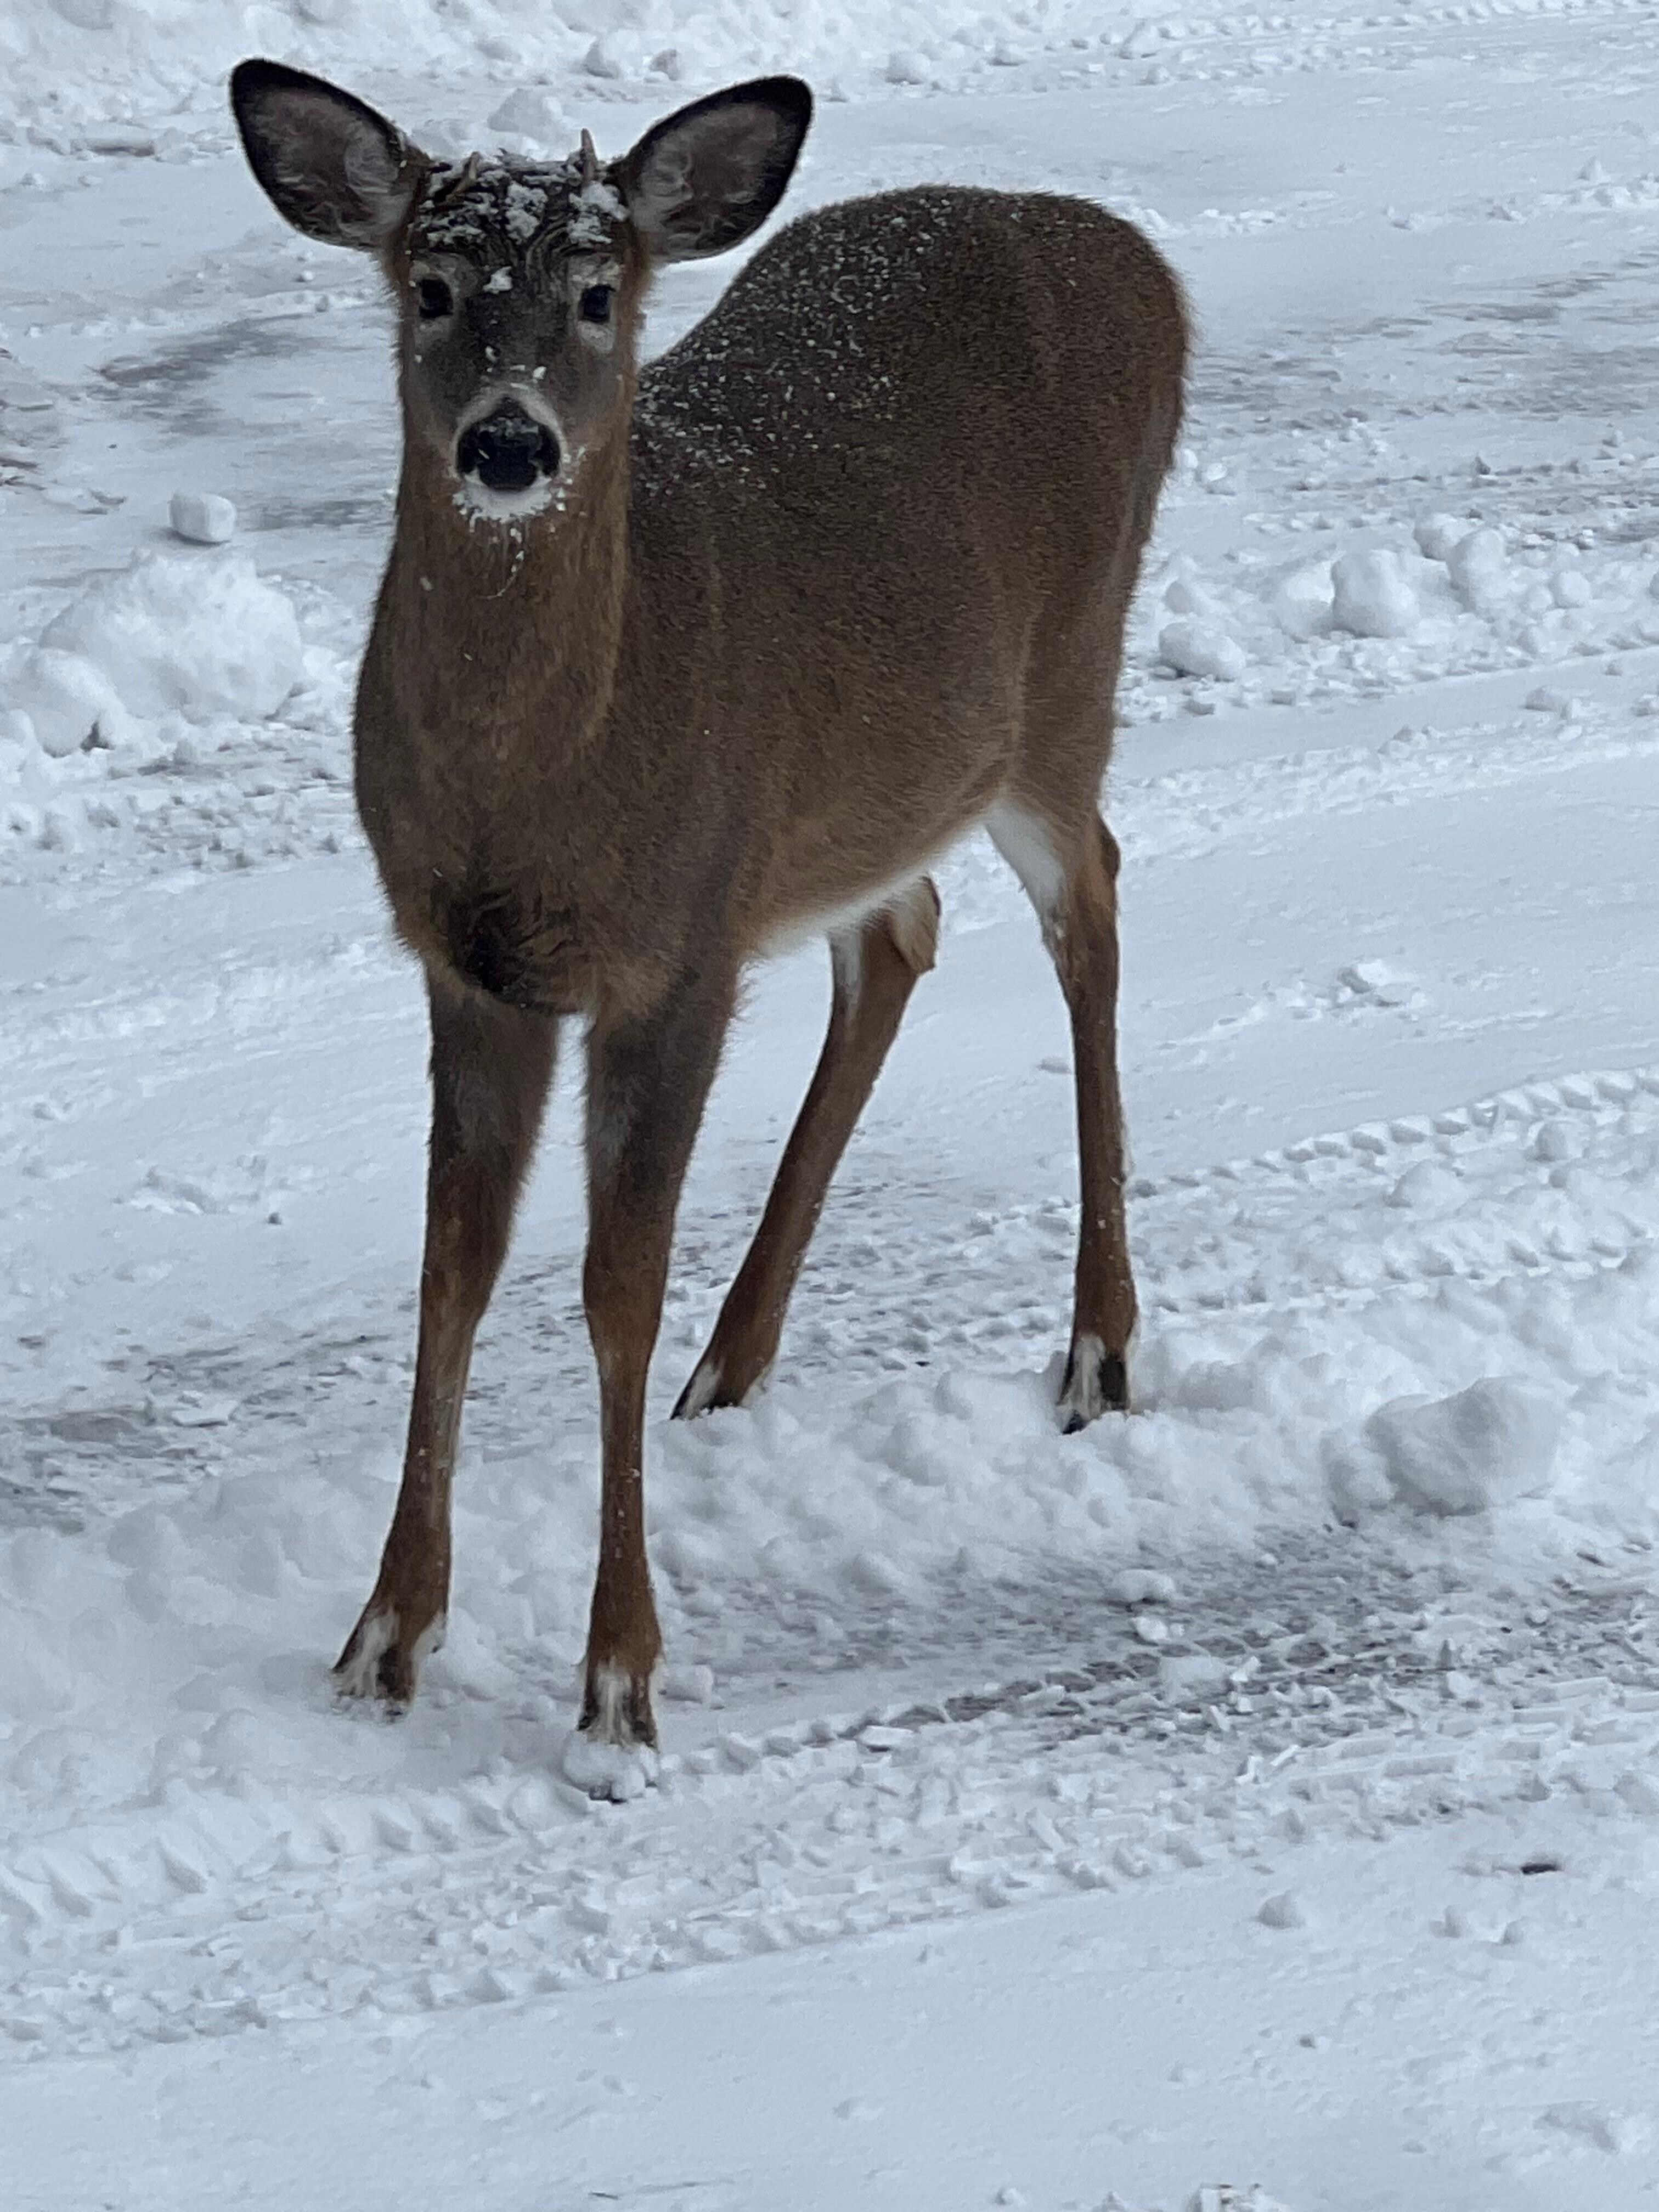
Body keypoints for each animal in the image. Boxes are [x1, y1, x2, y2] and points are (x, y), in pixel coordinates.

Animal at [229, 59, 1188, 1798]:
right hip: (862, 802)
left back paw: (1098, 1351)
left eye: (599, 294)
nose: (510, 443)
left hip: (1060, 697)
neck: (542, 790)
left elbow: (614, 1288)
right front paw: (385, 1639)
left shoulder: (666, 959)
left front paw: (618, 1685)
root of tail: (1136, 259)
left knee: (1091, 905)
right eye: (432, 287)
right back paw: (735, 1368)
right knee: (900, 933)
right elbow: (452, 1272)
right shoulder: (470, 968)